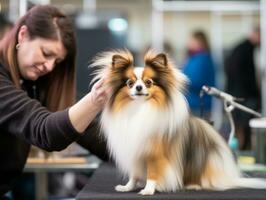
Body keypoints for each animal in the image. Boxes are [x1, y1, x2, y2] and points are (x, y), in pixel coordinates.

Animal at [90, 49, 266, 195]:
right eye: (130, 83)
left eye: (148, 82)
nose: (139, 88)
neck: (140, 109)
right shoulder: (134, 152)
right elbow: (134, 174)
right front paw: (128, 187)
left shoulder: (154, 154)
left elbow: (152, 173)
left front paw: (148, 190)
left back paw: (193, 185)